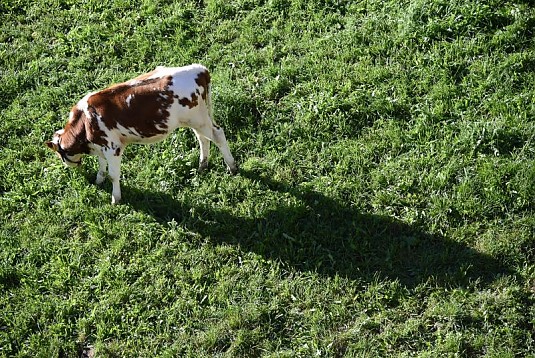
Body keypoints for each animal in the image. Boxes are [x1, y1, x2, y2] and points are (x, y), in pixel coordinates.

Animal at [46, 64, 239, 204]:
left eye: (60, 155)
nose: (73, 168)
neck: (85, 121)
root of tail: (199, 69)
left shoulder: (113, 148)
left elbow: (113, 174)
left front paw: (115, 198)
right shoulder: (101, 147)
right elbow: (101, 166)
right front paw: (98, 180)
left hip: (198, 119)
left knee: (218, 135)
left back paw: (232, 167)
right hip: (195, 120)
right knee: (202, 138)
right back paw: (202, 165)